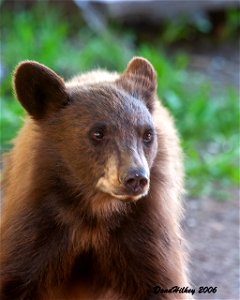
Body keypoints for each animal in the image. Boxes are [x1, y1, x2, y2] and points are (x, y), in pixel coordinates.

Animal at [0, 57, 191, 298]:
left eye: (147, 134)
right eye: (98, 133)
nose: (135, 178)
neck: (95, 212)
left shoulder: (146, 228)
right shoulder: (36, 223)